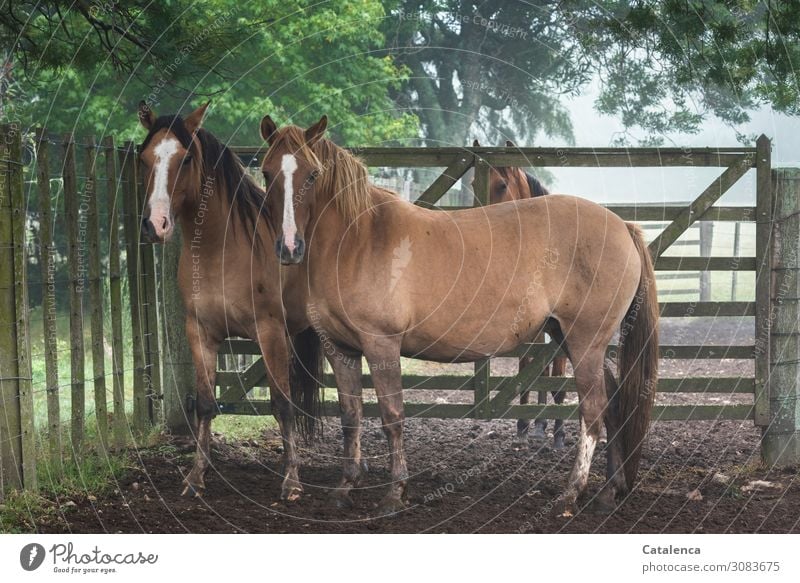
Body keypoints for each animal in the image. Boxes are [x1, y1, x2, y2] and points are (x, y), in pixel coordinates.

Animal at [138, 101, 322, 502]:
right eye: (144, 158)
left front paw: (292, 482)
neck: (220, 250)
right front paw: (196, 476)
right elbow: (206, 404)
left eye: (186, 158)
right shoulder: (200, 333)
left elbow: (282, 405)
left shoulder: (270, 333)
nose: (156, 224)